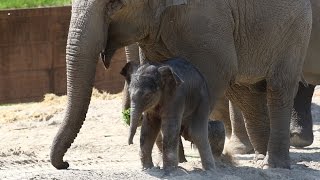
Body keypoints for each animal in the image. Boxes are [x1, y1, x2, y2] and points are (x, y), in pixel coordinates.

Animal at [50, 0, 312, 170]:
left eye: (115, 5)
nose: (65, 164)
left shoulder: (206, 18)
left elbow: (220, 67)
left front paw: (201, 145)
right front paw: (176, 160)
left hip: (294, 31)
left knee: (279, 88)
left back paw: (274, 165)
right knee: (245, 93)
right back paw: (259, 158)